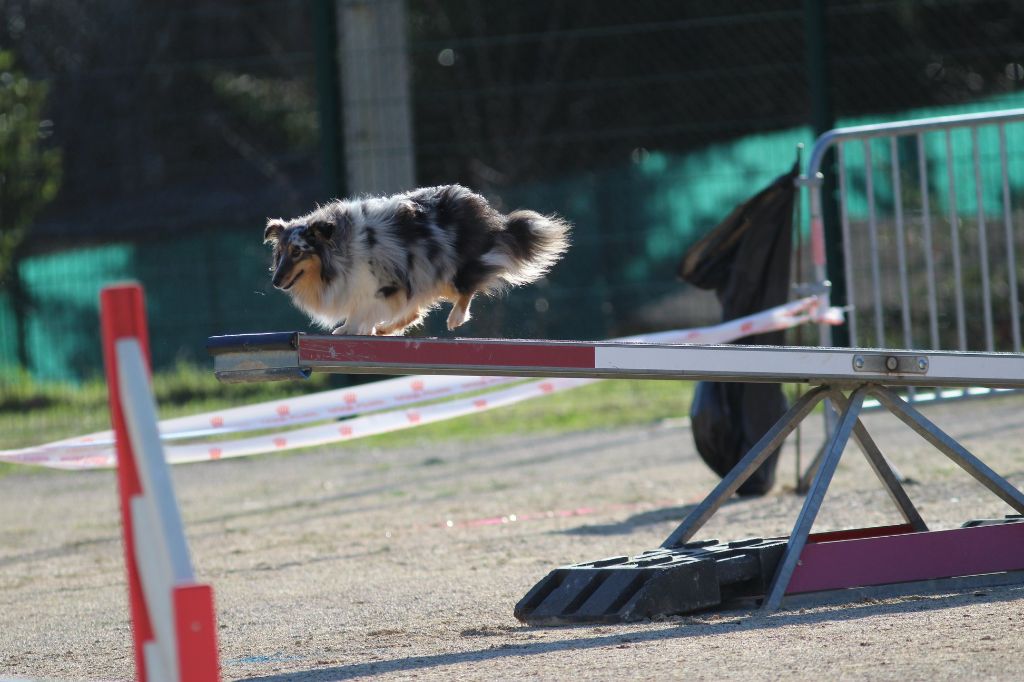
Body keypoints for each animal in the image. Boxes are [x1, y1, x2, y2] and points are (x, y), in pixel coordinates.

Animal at [264, 183, 573, 333]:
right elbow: (371, 310)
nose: (275, 281)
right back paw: (385, 329)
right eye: (280, 253)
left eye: (298, 251)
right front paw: (361, 329)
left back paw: (455, 319)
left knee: (466, 288)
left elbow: (363, 311)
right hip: (426, 275)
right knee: (415, 309)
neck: (340, 250)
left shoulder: (381, 285)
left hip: (450, 268)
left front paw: (349, 330)